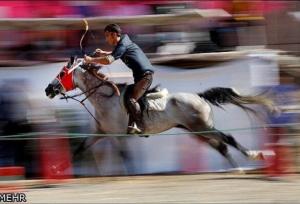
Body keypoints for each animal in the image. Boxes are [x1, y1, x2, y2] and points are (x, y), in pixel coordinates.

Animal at [45, 57, 278, 172]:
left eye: (62, 74)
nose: (48, 89)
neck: (105, 98)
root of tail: (199, 96)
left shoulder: (116, 135)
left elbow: (125, 156)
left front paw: (133, 172)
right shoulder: (99, 133)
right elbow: (78, 150)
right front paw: (56, 168)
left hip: (203, 127)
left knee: (227, 138)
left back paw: (254, 155)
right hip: (196, 130)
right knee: (221, 146)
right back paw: (237, 169)